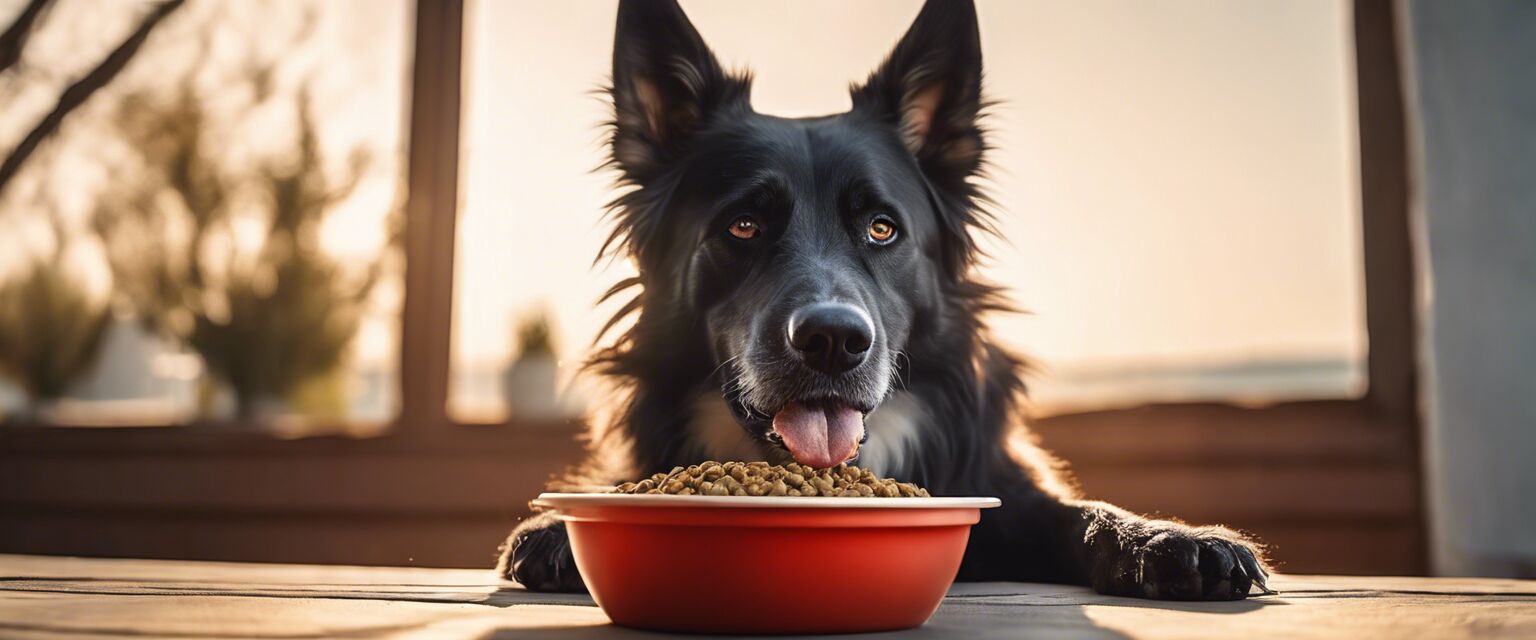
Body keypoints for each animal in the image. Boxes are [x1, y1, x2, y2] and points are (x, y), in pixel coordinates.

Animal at [494, 0, 1271, 598]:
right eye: (742, 226)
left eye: (881, 227)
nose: (833, 341)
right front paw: (558, 529)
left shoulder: (1002, 485)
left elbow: (1074, 509)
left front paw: (1164, 538)